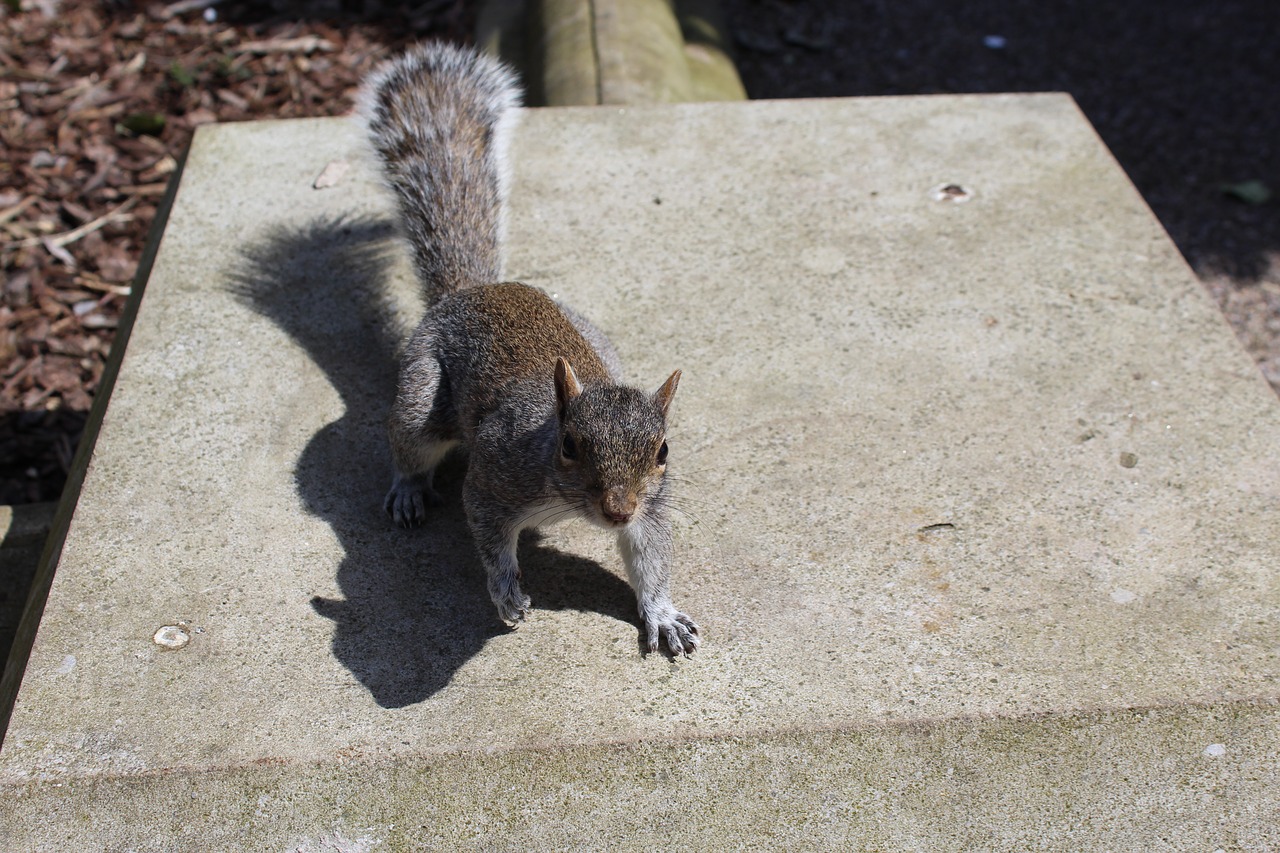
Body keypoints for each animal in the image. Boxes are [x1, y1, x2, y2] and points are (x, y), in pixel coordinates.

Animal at [358, 43, 701, 653]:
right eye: (569, 445)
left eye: (663, 451)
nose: (617, 511)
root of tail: (474, 290)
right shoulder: (495, 477)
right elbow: (487, 531)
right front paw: (505, 592)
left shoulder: (651, 507)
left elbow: (651, 557)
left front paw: (662, 613)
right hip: (423, 389)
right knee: (409, 440)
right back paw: (408, 489)